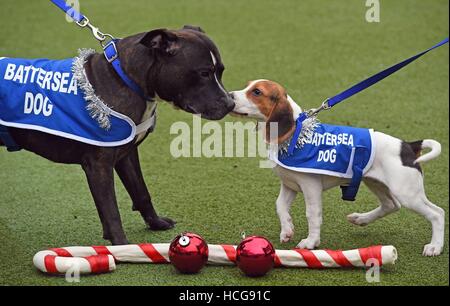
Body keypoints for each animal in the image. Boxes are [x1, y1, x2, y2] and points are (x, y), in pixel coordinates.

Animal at [2, 26, 236, 246]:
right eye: (204, 73)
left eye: (221, 71)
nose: (230, 104)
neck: (124, 80)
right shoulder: (99, 166)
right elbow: (111, 209)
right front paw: (121, 247)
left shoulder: (126, 155)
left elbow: (141, 192)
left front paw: (155, 223)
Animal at [230, 79, 444, 256]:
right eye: (248, 86)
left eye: (257, 92)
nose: (229, 96)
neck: (295, 135)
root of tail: (408, 145)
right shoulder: (290, 184)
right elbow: (280, 206)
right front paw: (287, 230)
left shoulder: (311, 187)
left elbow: (312, 215)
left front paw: (311, 242)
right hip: (376, 183)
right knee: (391, 205)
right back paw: (361, 219)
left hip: (408, 194)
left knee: (437, 213)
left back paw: (435, 246)